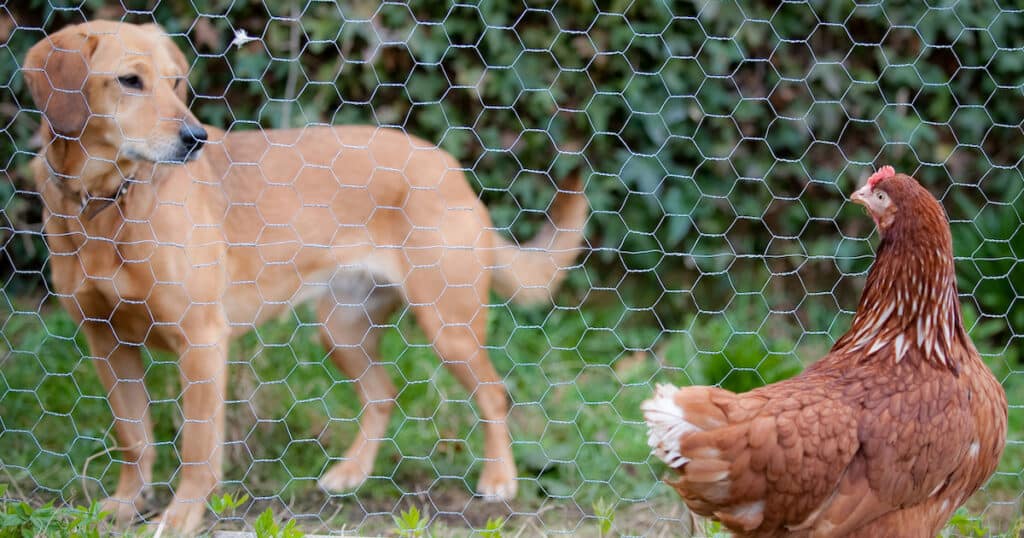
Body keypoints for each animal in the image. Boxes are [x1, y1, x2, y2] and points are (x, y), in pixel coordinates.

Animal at [22, 21, 585, 532]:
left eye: (176, 81)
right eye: (129, 81)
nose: (196, 139)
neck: (104, 203)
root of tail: (449, 165)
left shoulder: (201, 342)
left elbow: (198, 451)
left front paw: (181, 517)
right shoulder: (107, 342)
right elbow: (134, 437)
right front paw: (124, 506)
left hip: (449, 329)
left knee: (494, 394)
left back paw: (499, 479)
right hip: (341, 330)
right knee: (383, 394)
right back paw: (352, 474)